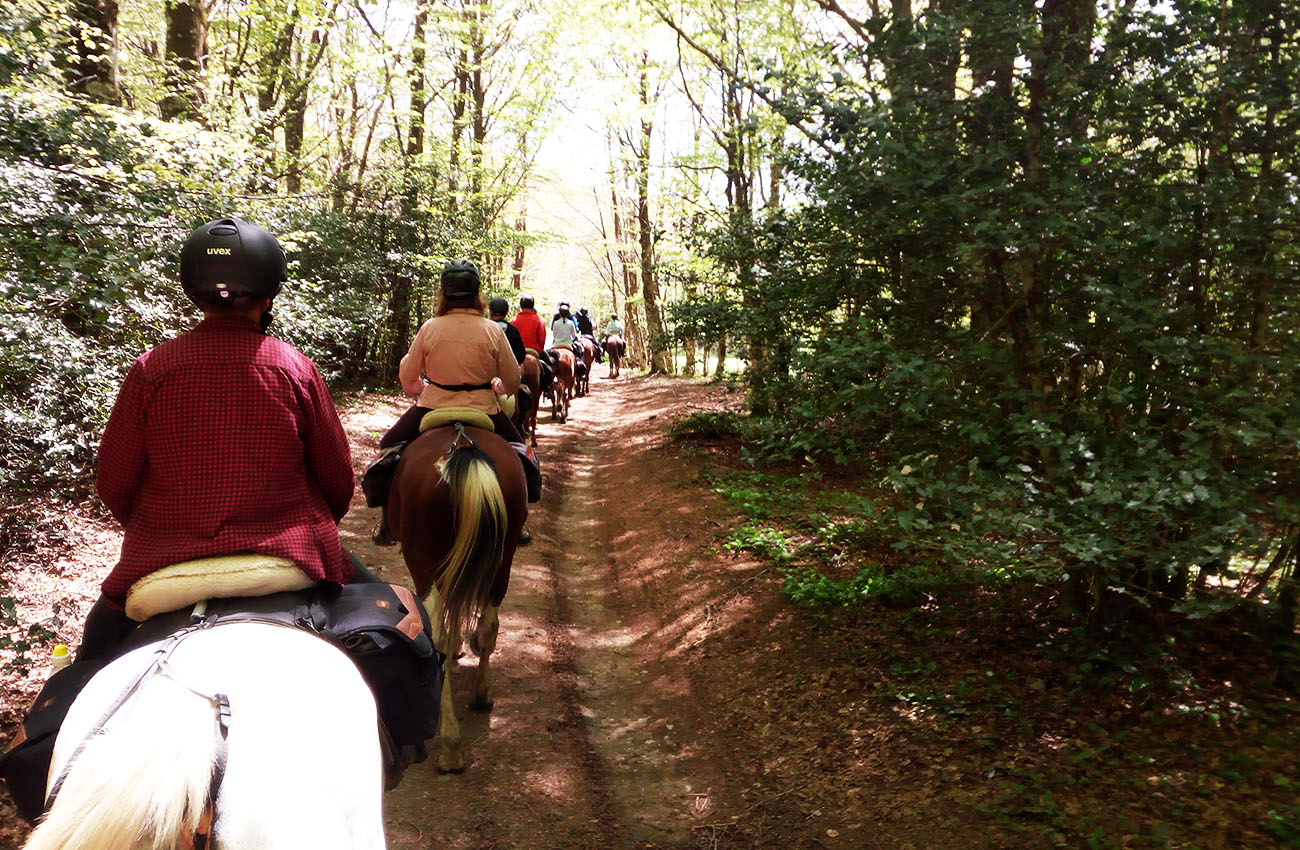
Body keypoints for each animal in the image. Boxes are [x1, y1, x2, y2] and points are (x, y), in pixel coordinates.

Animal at [387, 423, 525, 774]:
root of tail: (463, 447)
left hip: (423, 563)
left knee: (435, 636)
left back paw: (449, 745)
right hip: (502, 560)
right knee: (489, 628)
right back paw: (481, 695)